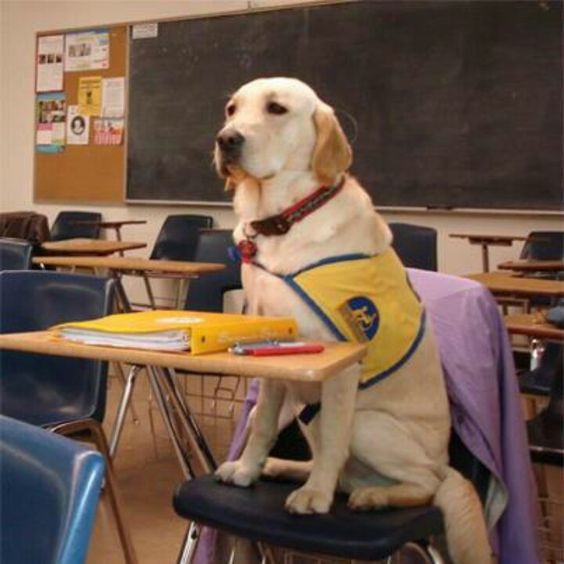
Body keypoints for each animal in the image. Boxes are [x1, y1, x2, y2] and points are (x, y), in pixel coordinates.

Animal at [214, 78, 492, 564]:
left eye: (276, 109)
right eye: (232, 109)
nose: (226, 139)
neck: (283, 220)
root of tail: (448, 463)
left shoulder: (343, 362)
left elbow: (333, 444)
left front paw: (314, 497)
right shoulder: (274, 359)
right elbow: (261, 424)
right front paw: (248, 469)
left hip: (369, 422)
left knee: (421, 483)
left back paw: (373, 495)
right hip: (307, 412)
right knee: (341, 466)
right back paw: (283, 467)